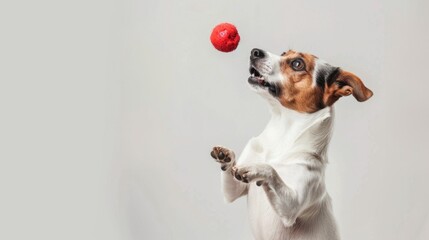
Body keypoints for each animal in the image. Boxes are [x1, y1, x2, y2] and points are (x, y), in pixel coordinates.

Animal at [209, 47, 370, 239]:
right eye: (284, 53)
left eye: (297, 64)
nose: (255, 51)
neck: (281, 137)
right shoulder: (234, 191)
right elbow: (233, 173)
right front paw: (225, 155)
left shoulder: (291, 207)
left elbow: (271, 170)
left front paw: (255, 169)